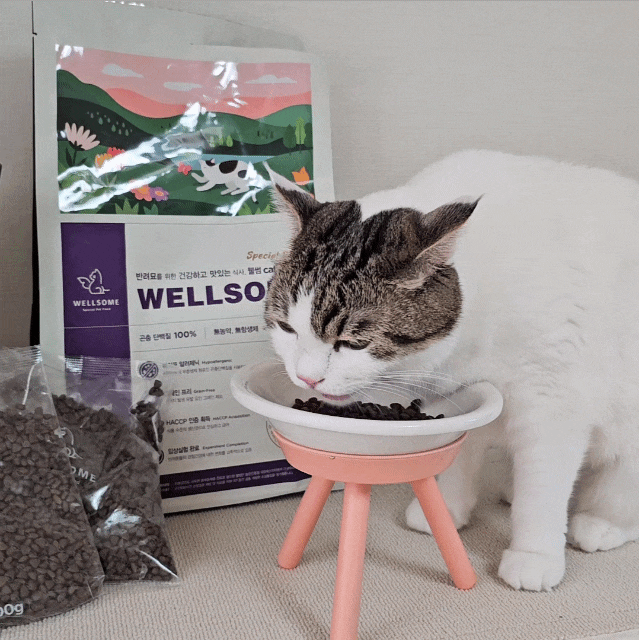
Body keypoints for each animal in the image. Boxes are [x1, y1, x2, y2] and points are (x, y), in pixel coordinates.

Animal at [263, 150, 639, 591]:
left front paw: (534, 555)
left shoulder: (552, 400)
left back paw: (599, 524)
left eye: (353, 343)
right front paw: (446, 510)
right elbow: (459, 455)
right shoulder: (457, 392)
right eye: (287, 328)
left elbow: (543, 488)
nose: (307, 377)